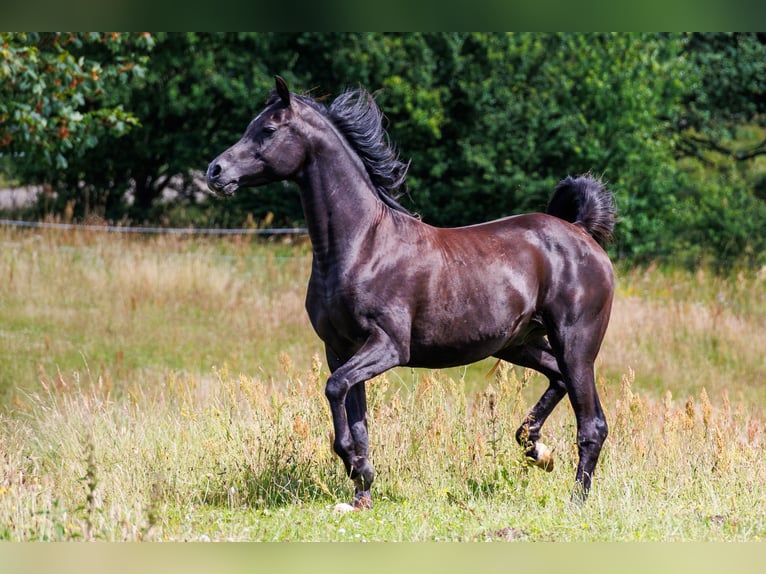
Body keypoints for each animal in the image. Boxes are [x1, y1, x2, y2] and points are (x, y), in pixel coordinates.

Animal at [206, 76, 616, 509]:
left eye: (268, 130)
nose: (215, 171)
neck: (362, 245)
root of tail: (582, 233)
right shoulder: (341, 349)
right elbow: (354, 416)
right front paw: (361, 491)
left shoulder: (388, 346)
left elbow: (334, 390)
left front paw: (356, 468)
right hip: (518, 343)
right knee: (557, 381)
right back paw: (536, 450)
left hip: (576, 343)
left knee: (592, 423)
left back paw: (576, 499)